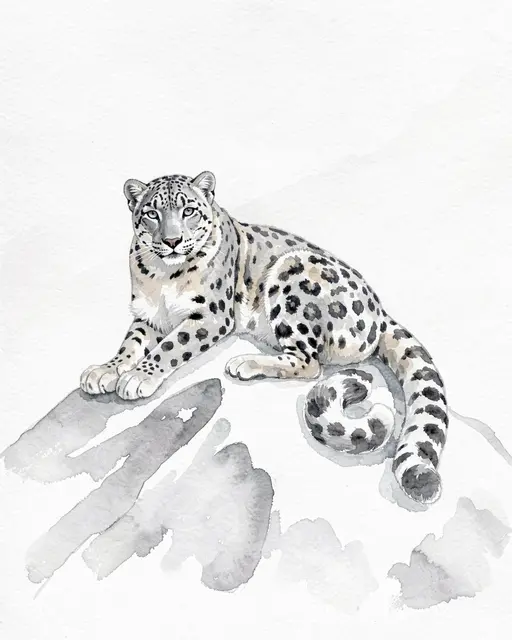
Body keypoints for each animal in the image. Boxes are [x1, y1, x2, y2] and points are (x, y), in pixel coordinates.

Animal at [80, 171, 448, 505]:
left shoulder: (211, 315)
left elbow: (170, 346)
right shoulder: (147, 315)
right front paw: (105, 371)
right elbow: (130, 345)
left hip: (292, 275)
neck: (162, 276)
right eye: (151, 213)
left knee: (308, 362)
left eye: (189, 211)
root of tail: (380, 311)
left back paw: (245, 363)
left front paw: (138, 378)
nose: (172, 241)